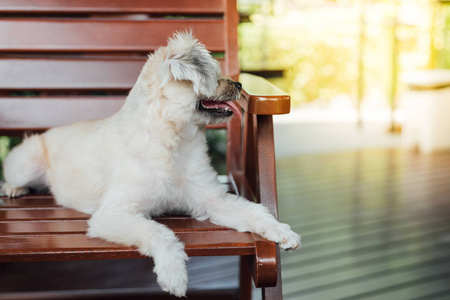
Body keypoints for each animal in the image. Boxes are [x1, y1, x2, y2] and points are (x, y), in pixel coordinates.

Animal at [3, 31, 300, 296]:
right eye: (214, 74)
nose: (238, 86)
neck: (172, 144)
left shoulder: (211, 200)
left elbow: (254, 212)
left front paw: (280, 231)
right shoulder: (113, 215)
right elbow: (159, 232)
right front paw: (174, 274)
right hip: (27, 164)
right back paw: (12, 189)